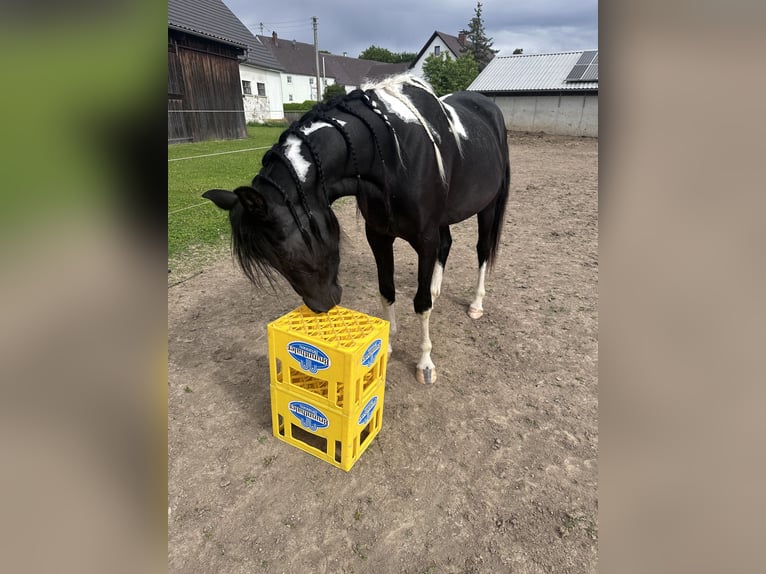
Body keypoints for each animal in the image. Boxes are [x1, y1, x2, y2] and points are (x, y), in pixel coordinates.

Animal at [207, 74, 512, 384]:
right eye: (271, 259)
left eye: (287, 252)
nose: (322, 306)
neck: (392, 154)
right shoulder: (378, 236)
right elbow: (387, 290)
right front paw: (384, 346)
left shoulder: (425, 239)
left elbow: (421, 303)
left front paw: (425, 363)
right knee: (447, 244)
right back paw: (437, 287)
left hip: (488, 207)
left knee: (482, 250)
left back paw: (476, 304)